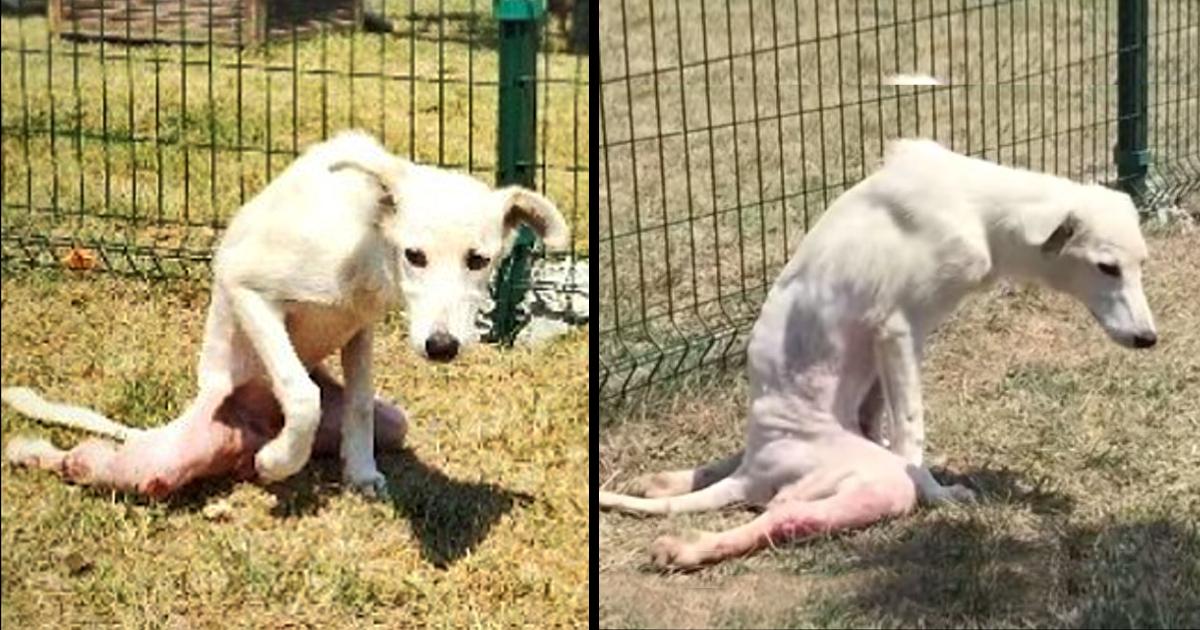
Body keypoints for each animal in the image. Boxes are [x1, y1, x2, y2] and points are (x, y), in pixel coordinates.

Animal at [1, 130, 571, 499]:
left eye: (479, 260)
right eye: (415, 255)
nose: (442, 347)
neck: (365, 241)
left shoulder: (360, 329)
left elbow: (358, 405)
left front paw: (360, 473)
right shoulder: (245, 286)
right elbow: (301, 392)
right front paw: (279, 462)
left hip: (395, 423)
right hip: (146, 460)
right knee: (82, 460)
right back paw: (29, 451)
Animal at [604, 138, 1156, 568]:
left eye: (1141, 264)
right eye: (1107, 267)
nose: (1149, 339)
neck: (979, 206)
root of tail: (758, 466)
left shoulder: (895, 344)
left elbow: (886, 420)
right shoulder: (897, 330)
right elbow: (911, 433)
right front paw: (938, 495)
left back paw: (667, 483)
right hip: (874, 482)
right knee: (786, 516)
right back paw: (686, 549)